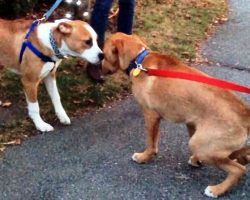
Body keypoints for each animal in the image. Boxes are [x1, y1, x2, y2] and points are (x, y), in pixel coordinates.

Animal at [101, 32, 250, 197]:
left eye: (103, 55)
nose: (99, 70)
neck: (139, 60)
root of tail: (245, 114)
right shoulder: (176, 121)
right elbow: (155, 140)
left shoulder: (150, 115)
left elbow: (150, 143)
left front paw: (144, 157)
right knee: (242, 157)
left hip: (199, 144)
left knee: (239, 170)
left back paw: (216, 189)